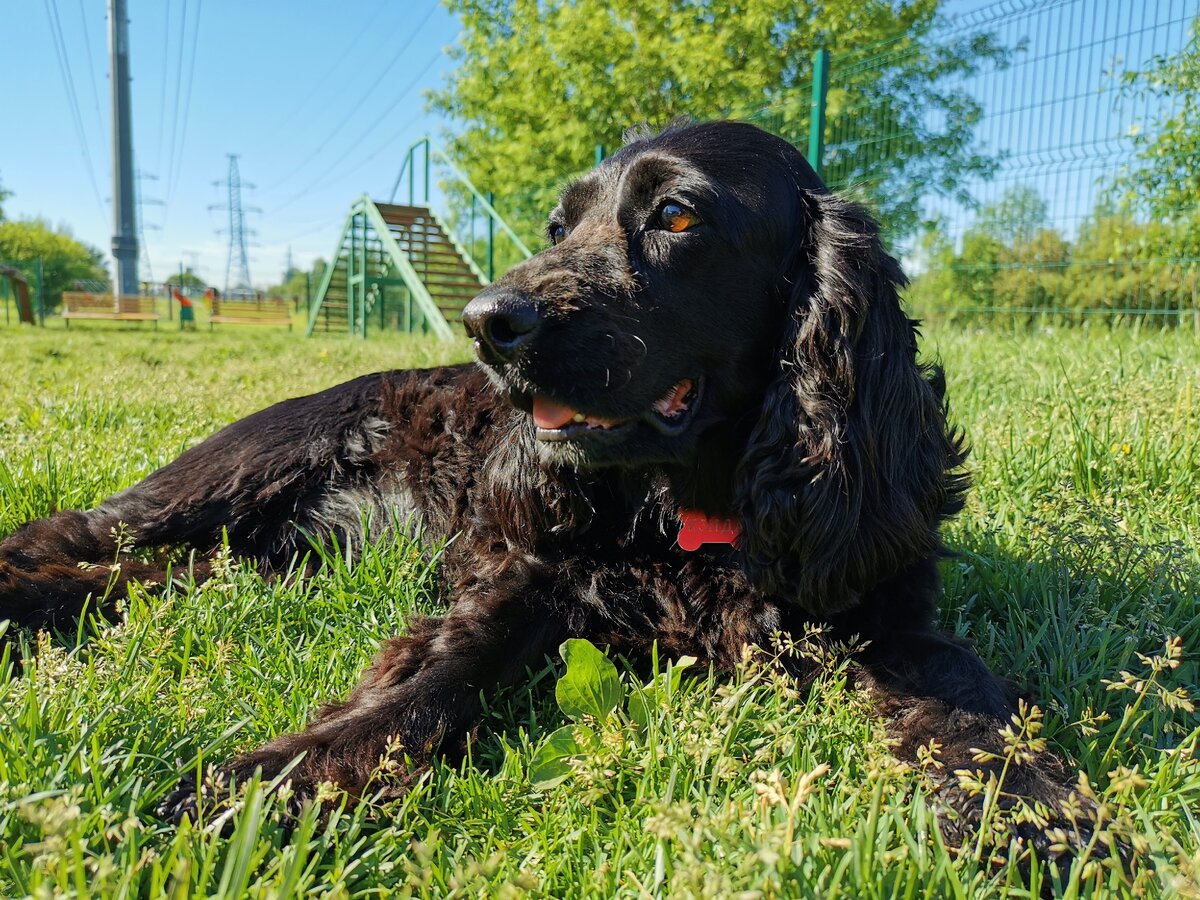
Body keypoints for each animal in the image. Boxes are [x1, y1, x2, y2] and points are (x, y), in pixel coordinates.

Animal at [0, 121, 1080, 854]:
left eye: (675, 215)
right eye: (560, 224)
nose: (487, 322)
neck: (696, 518)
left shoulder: (882, 606)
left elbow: (973, 705)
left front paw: (1038, 816)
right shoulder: (520, 582)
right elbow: (428, 686)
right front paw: (267, 784)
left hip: (265, 560)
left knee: (156, 576)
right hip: (229, 473)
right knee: (76, 532)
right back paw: (18, 601)